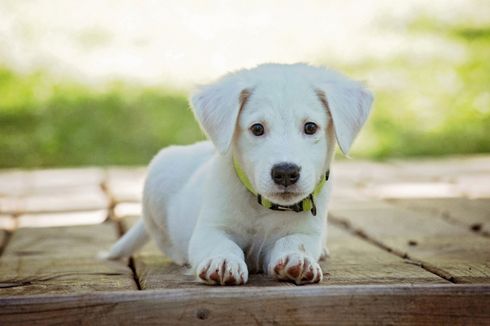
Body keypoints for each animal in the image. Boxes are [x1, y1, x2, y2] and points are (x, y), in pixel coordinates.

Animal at [107, 62, 374, 284]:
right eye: (257, 129)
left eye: (310, 127)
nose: (285, 172)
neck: (263, 208)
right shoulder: (210, 228)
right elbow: (222, 244)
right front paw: (223, 261)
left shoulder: (306, 232)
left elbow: (294, 242)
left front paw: (296, 259)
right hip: (157, 181)